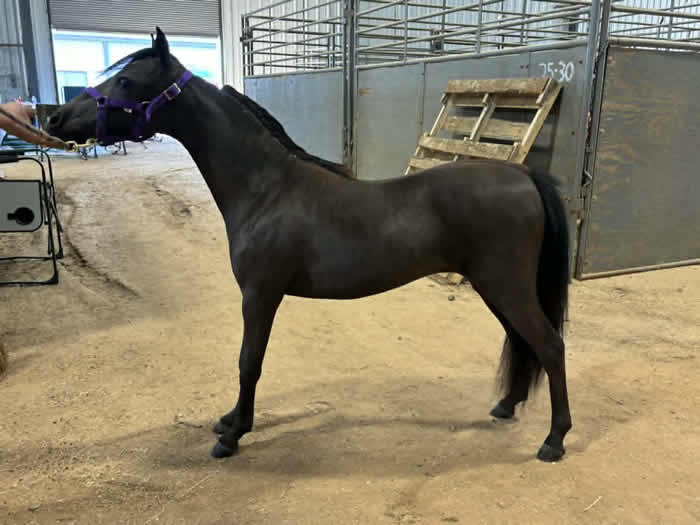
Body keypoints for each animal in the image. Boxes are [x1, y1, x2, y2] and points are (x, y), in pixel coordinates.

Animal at [46, 28, 572, 462]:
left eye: (126, 81)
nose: (54, 117)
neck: (266, 189)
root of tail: (523, 175)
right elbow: (248, 364)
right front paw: (231, 421)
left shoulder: (260, 296)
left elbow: (249, 363)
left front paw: (233, 435)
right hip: (495, 288)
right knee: (523, 341)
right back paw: (505, 406)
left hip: (506, 286)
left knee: (549, 344)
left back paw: (554, 440)